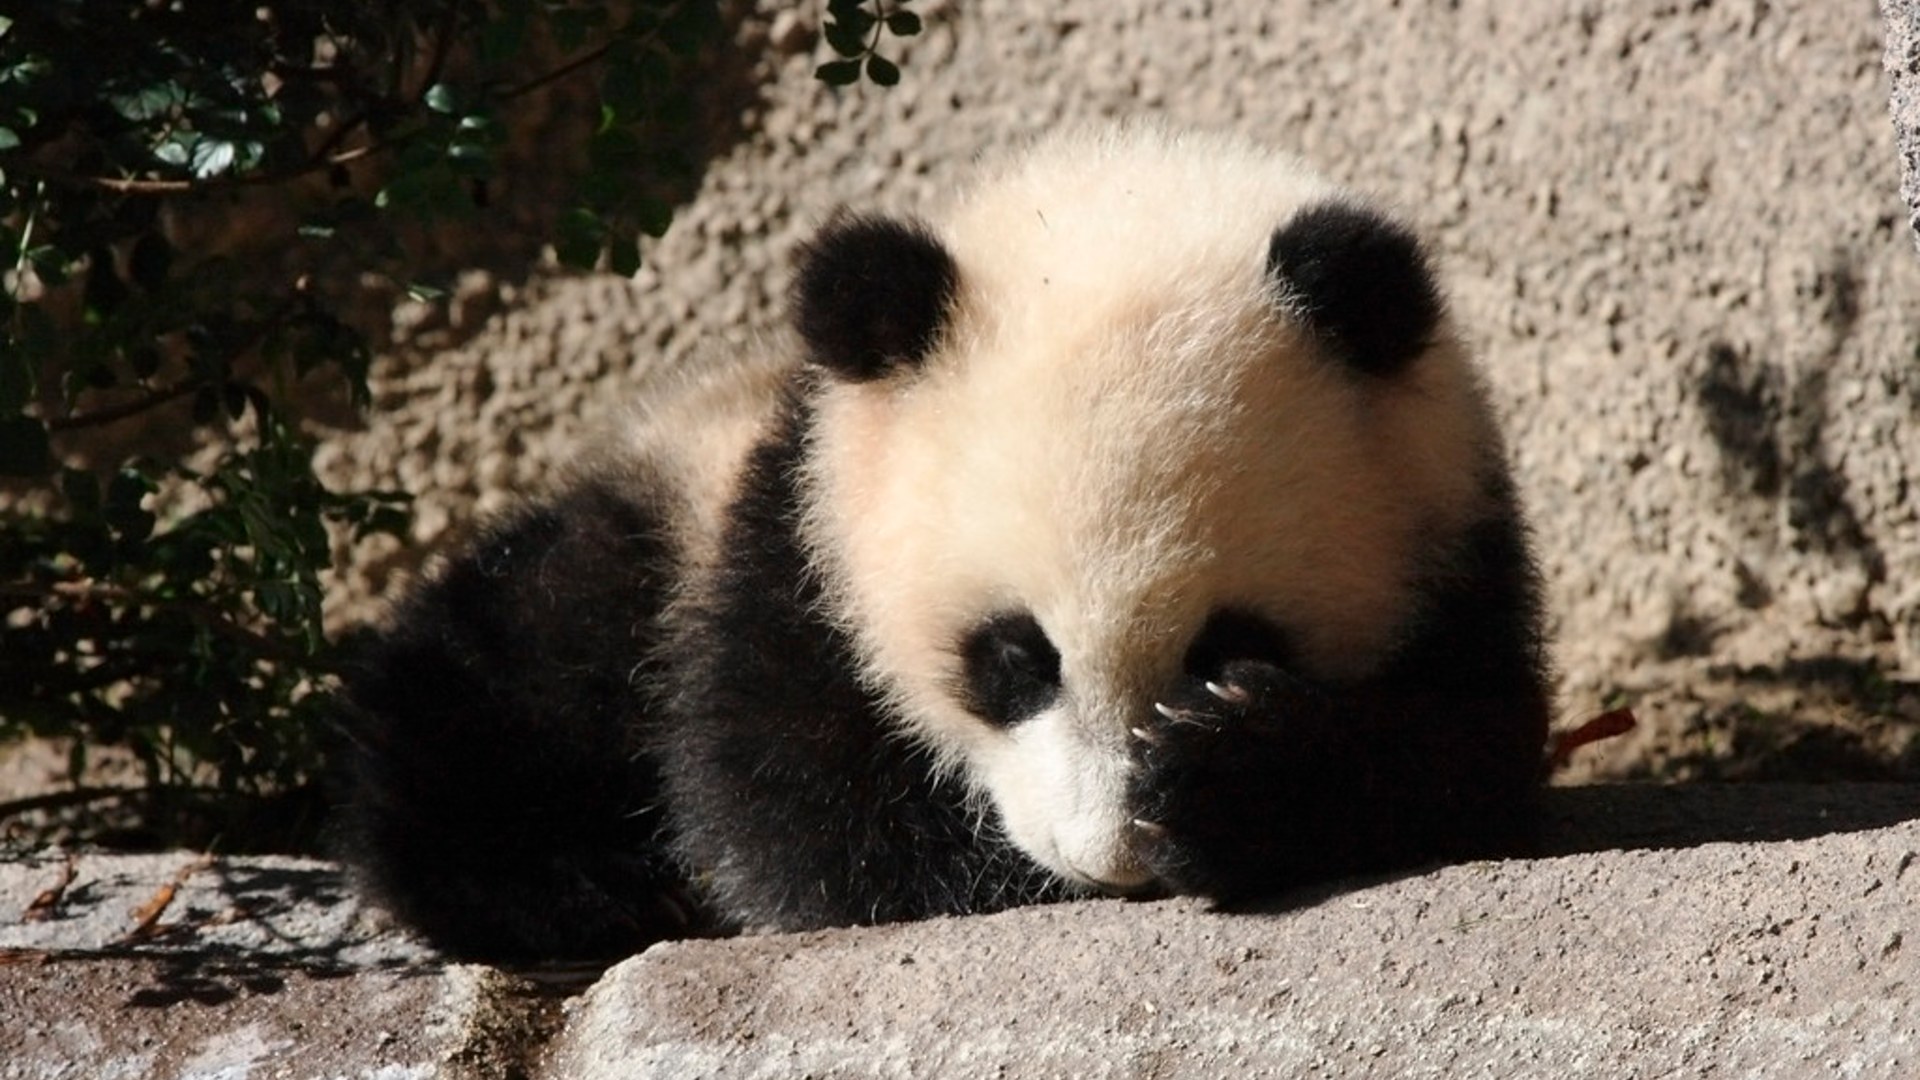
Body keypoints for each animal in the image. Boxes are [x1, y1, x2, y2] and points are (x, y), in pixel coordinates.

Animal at [340, 124, 1552, 963]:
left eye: (1227, 643)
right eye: (1014, 656)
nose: (1110, 861)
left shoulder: (1455, 536)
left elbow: (1461, 758)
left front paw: (1228, 774)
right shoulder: (802, 536)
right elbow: (792, 815)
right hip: (665, 502)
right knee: (522, 651)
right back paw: (581, 881)